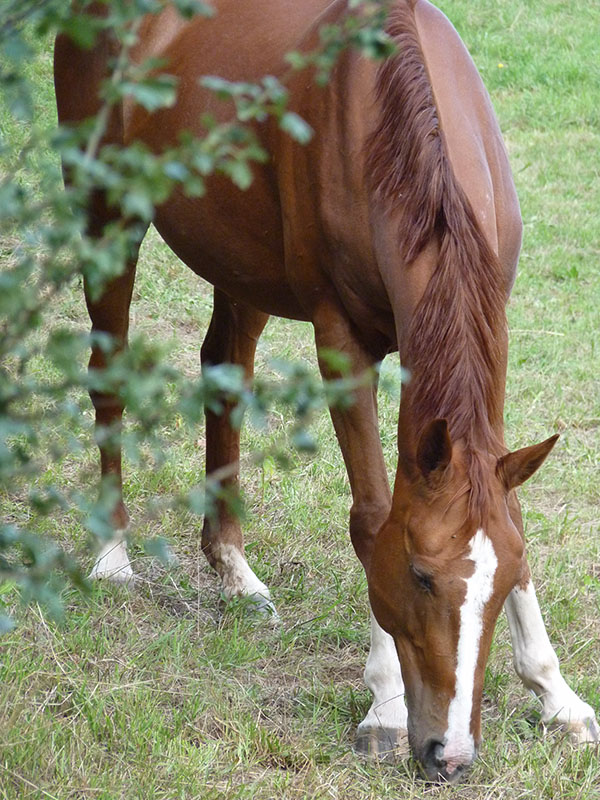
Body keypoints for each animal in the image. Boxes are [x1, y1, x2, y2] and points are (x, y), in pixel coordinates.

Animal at [54, 0, 596, 780]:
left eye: (500, 582)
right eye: (421, 577)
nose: (452, 753)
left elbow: (509, 508)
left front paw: (558, 695)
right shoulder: (343, 340)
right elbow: (371, 516)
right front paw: (385, 708)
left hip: (240, 265)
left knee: (224, 368)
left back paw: (234, 570)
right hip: (107, 210)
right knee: (110, 373)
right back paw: (111, 555)